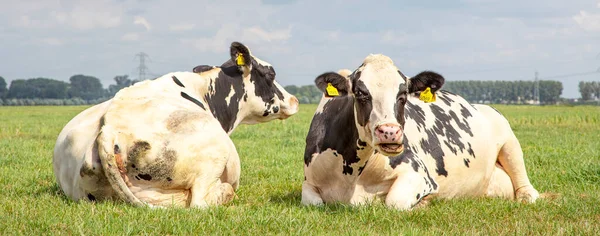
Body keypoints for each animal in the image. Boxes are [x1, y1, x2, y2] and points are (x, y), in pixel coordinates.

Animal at [302, 54, 540, 210]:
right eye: (361, 93)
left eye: (402, 95)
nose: (390, 132)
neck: (351, 173)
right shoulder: (308, 183)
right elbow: (313, 203)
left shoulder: (419, 173)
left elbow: (395, 201)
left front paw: (424, 202)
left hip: (509, 139)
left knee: (526, 187)